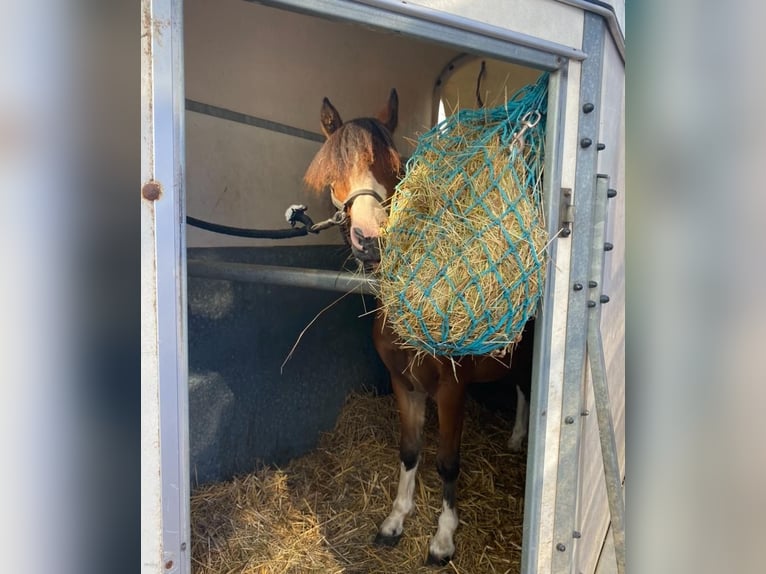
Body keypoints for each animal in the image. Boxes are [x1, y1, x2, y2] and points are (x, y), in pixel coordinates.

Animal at [304, 90, 532, 568]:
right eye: (334, 175)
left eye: (396, 166)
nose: (370, 240)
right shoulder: (403, 383)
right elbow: (410, 451)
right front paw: (395, 520)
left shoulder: (451, 389)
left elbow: (447, 460)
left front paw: (443, 538)